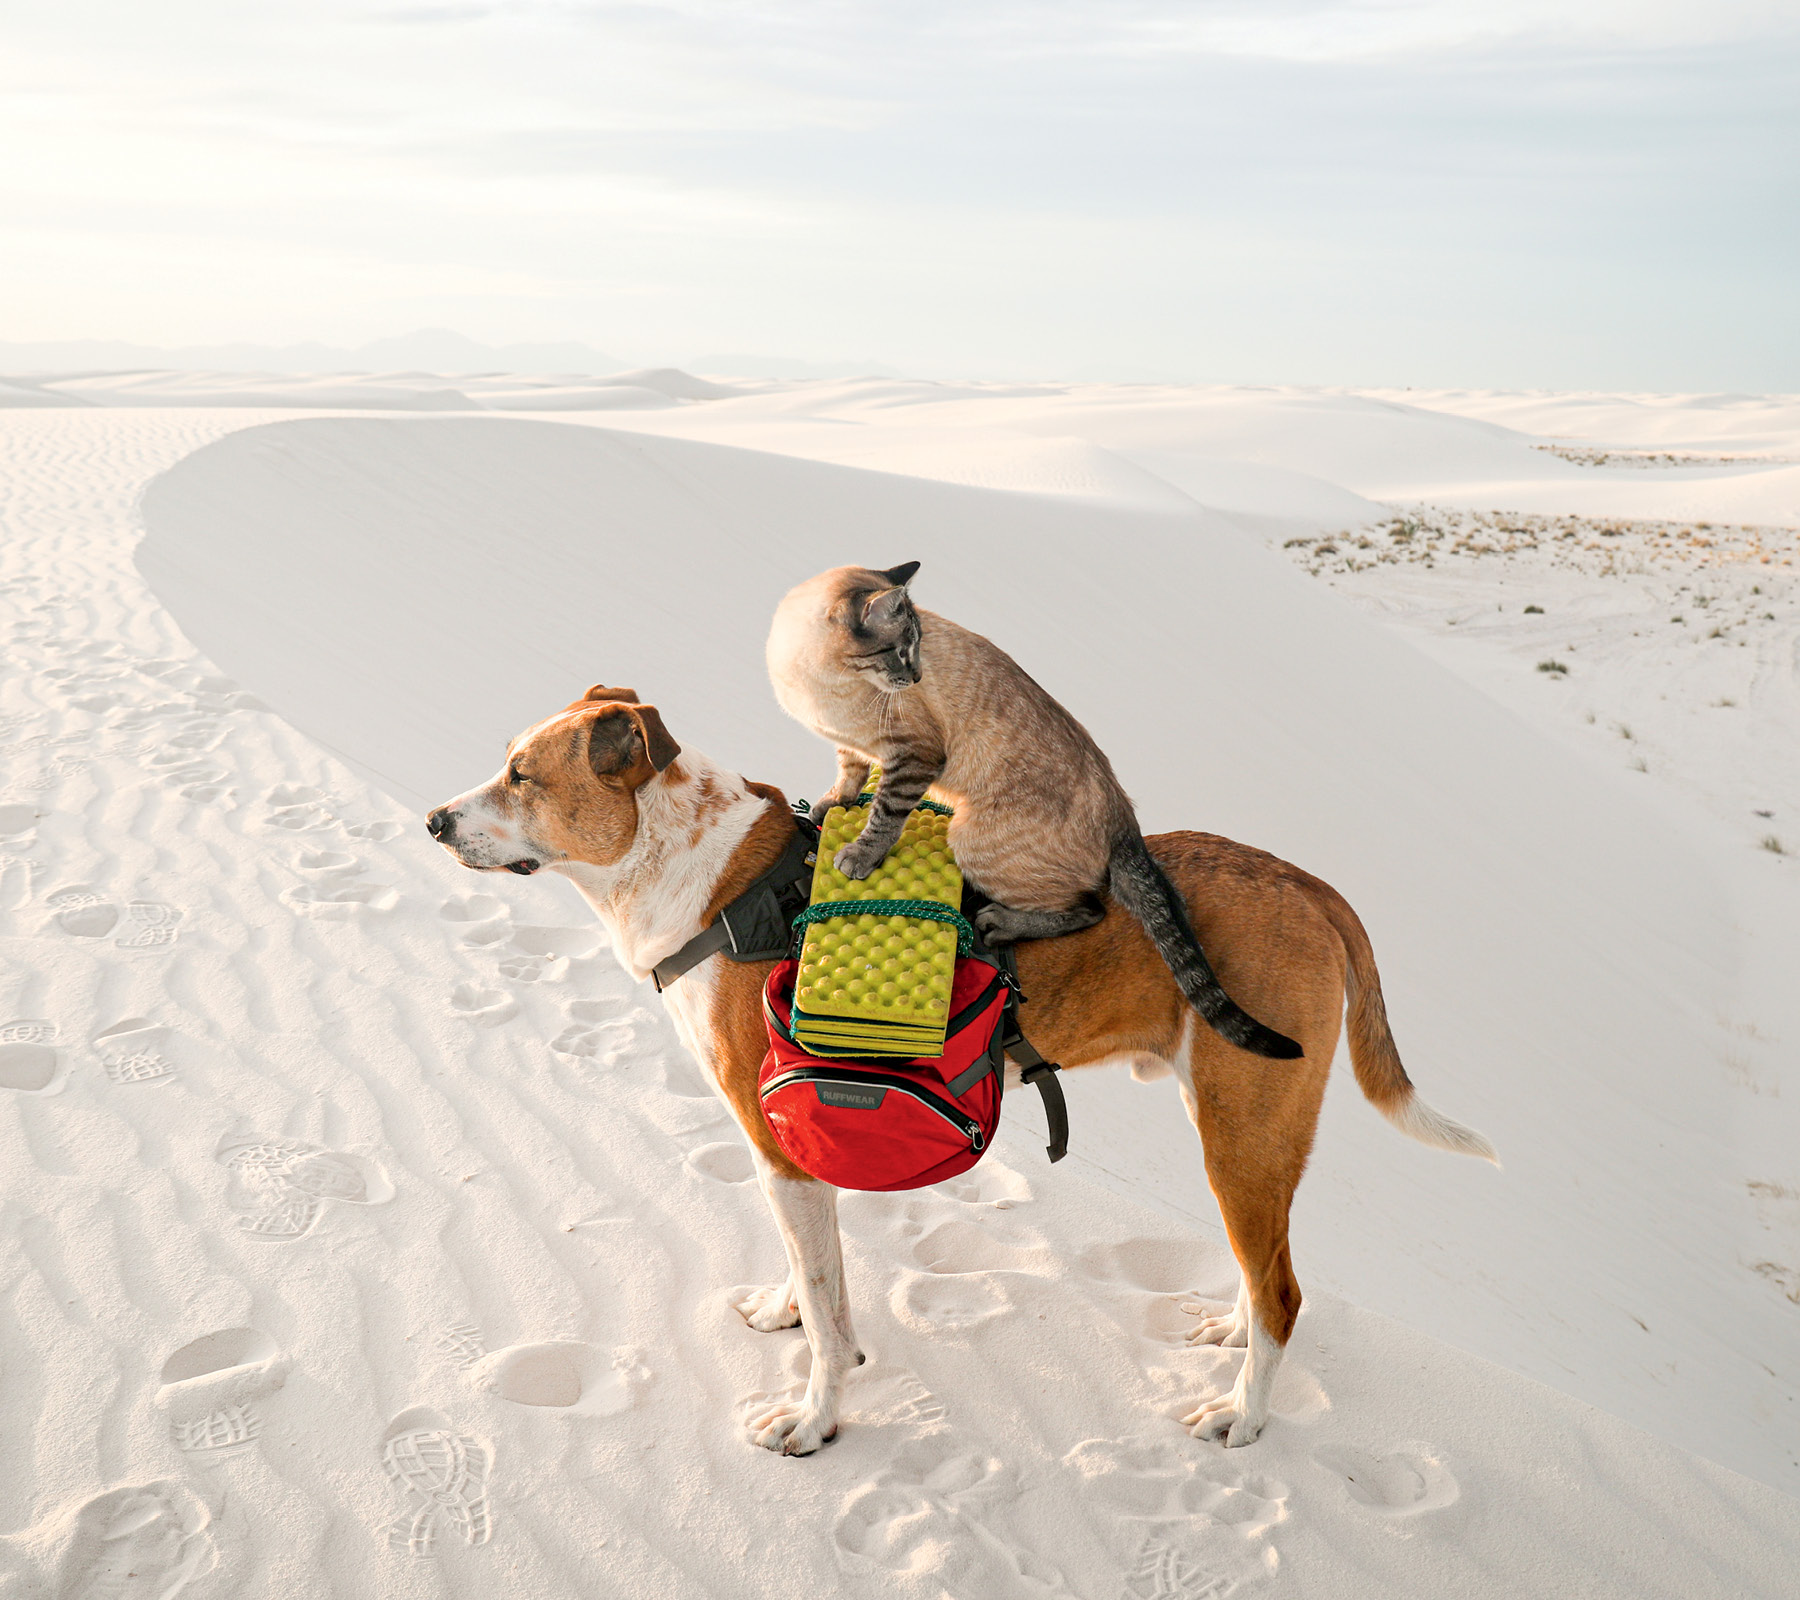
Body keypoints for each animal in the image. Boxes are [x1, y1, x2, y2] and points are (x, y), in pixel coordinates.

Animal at [428, 680, 1497, 1454]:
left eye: (521, 776)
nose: (435, 820)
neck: (702, 878)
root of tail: (1307, 883)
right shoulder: (797, 1156)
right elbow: (811, 1275)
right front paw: (785, 1309)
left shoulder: (777, 1137)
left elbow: (833, 1318)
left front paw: (815, 1420)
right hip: (1247, 1132)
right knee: (1266, 1265)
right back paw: (1232, 1338)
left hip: (1243, 1125)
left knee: (1284, 1291)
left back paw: (1243, 1413)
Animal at [766, 561, 1303, 1058]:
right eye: (901, 650)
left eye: (915, 649)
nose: (915, 675)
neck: (816, 681)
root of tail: (1125, 819)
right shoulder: (857, 749)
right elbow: (849, 775)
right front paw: (830, 806)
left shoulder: (914, 755)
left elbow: (883, 816)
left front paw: (859, 856)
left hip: (970, 840)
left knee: (1089, 909)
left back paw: (999, 922)